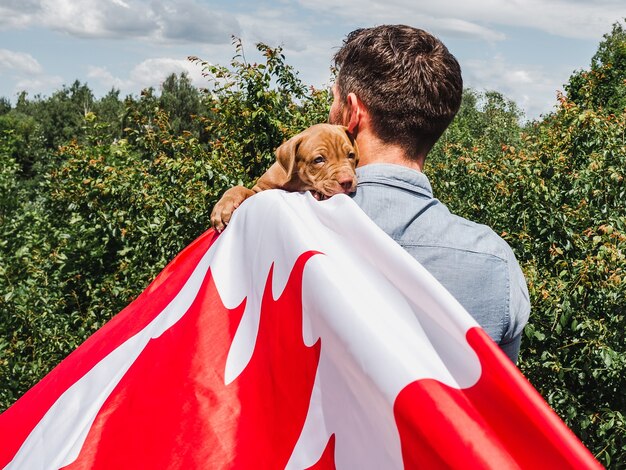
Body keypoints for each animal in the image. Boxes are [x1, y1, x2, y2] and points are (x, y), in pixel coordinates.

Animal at [210, 122, 356, 230]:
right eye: (319, 160)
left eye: (351, 155)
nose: (347, 181)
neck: (297, 182)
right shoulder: (260, 190)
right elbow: (239, 189)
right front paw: (223, 206)